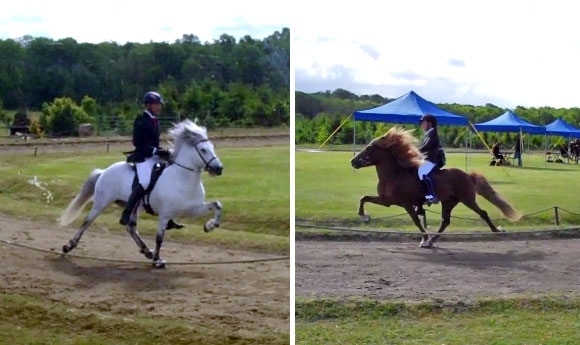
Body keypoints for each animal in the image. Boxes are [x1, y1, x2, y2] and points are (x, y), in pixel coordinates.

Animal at [58, 119, 222, 268]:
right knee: (87, 222)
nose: (219, 168)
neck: (182, 178)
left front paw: (210, 225)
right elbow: (159, 238)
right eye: (203, 150)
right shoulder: (165, 215)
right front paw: (157, 260)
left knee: (131, 228)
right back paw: (69, 246)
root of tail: (104, 171)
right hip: (101, 202)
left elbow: (216, 205)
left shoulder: (194, 209)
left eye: (212, 147)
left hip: (134, 207)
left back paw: (146, 251)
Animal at [352, 126, 524, 247]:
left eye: (369, 148)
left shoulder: (405, 203)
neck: (395, 175)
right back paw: (432, 240)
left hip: (467, 199)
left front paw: (424, 238)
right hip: (448, 202)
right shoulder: (386, 200)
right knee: (445, 221)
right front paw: (365, 216)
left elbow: (416, 220)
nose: (353, 162)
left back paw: (497, 231)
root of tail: (468, 176)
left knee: (483, 213)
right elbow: (364, 198)